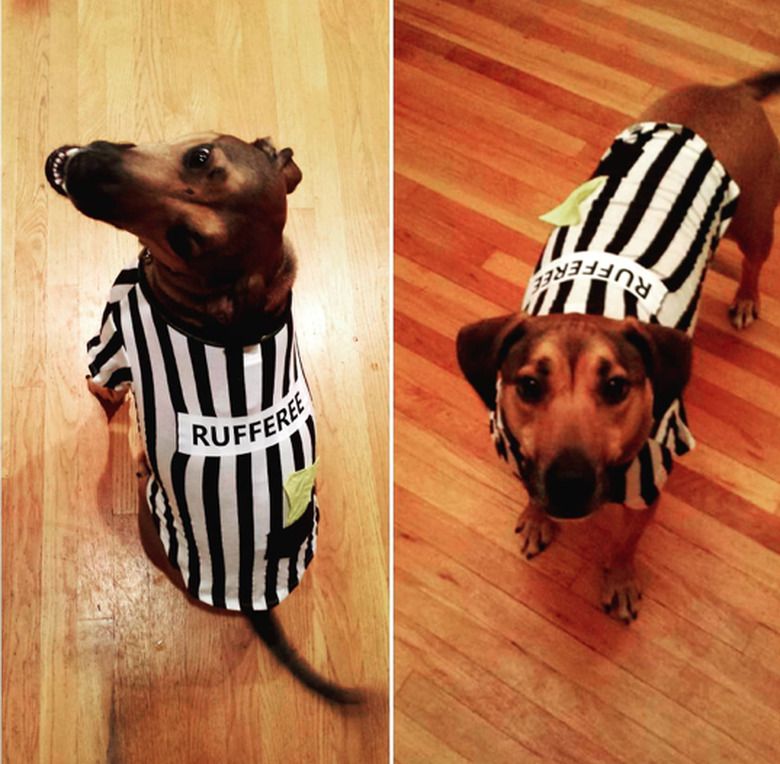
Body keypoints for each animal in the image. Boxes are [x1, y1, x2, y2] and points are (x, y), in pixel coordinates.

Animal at [48, 133, 362, 704]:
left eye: (185, 240)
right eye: (199, 157)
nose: (91, 173)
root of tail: (259, 598)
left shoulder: (111, 346)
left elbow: (101, 382)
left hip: (154, 516)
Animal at [458, 73, 780, 620]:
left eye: (615, 387)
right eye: (528, 386)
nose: (568, 482)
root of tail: (728, 91)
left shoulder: (649, 487)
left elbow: (626, 543)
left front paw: (620, 579)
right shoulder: (521, 456)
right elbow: (532, 493)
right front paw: (538, 518)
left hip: (756, 220)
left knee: (754, 263)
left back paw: (745, 298)